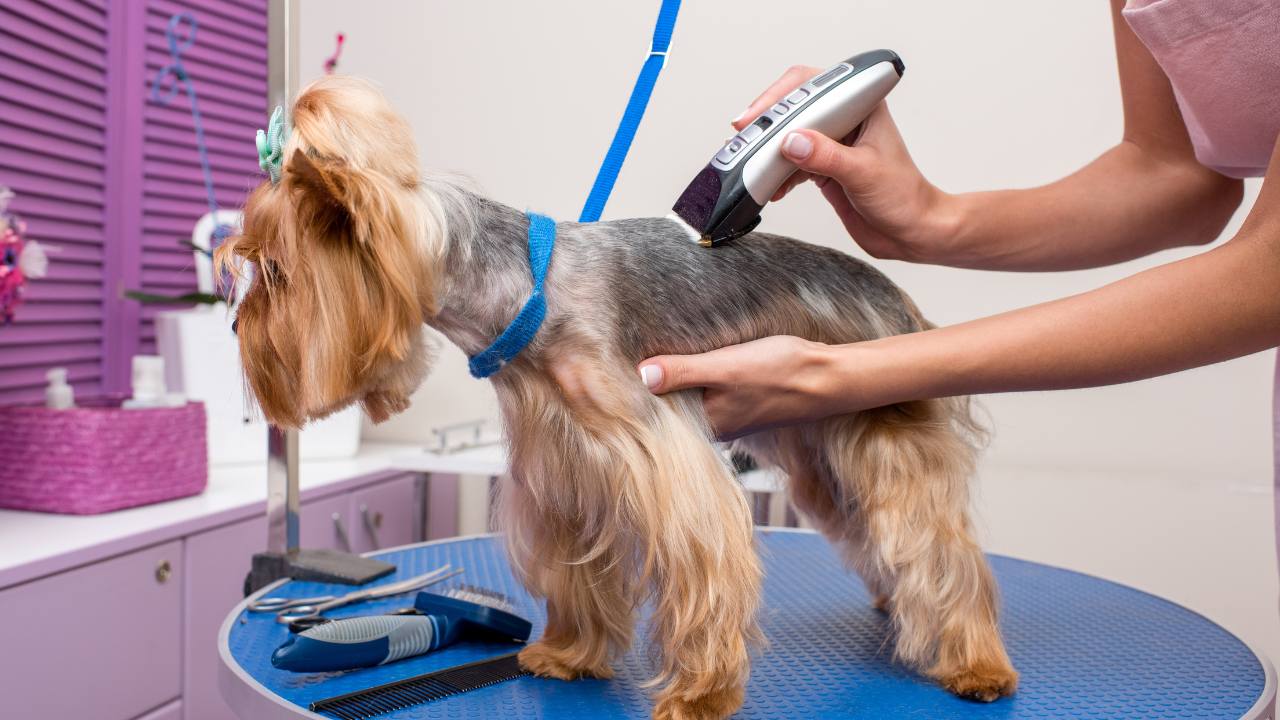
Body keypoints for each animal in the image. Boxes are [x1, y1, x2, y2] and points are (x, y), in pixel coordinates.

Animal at [220, 74, 1018, 717]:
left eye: (276, 271)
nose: (231, 322)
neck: (525, 289)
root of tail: (898, 299)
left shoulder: (658, 451)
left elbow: (704, 558)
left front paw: (700, 695)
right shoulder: (563, 467)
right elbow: (577, 575)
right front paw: (567, 655)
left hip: (881, 430)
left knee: (938, 544)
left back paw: (975, 662)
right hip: (817, 448)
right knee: (876, 534)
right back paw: (897, 603)